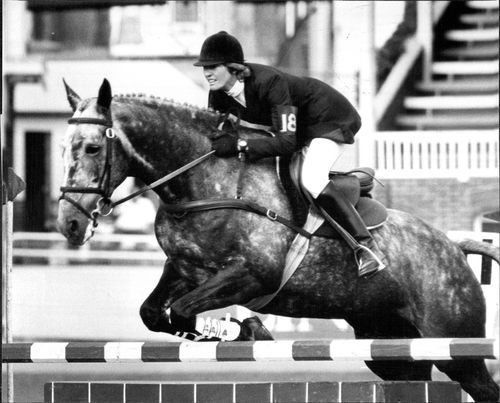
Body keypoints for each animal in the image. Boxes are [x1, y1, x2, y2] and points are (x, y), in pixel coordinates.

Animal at [56, 79, 498, 403]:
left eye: (92, 147)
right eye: (62, 149)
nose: (69, 224)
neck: (200, 185)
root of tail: (455, 247)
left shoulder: (252, 276)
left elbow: (180, 311)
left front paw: (248, 331)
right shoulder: (184, 268)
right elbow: (155, 313)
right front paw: (240, 330)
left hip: (455, 347)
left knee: (480, 382)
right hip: (391, 345)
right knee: (413, 376)